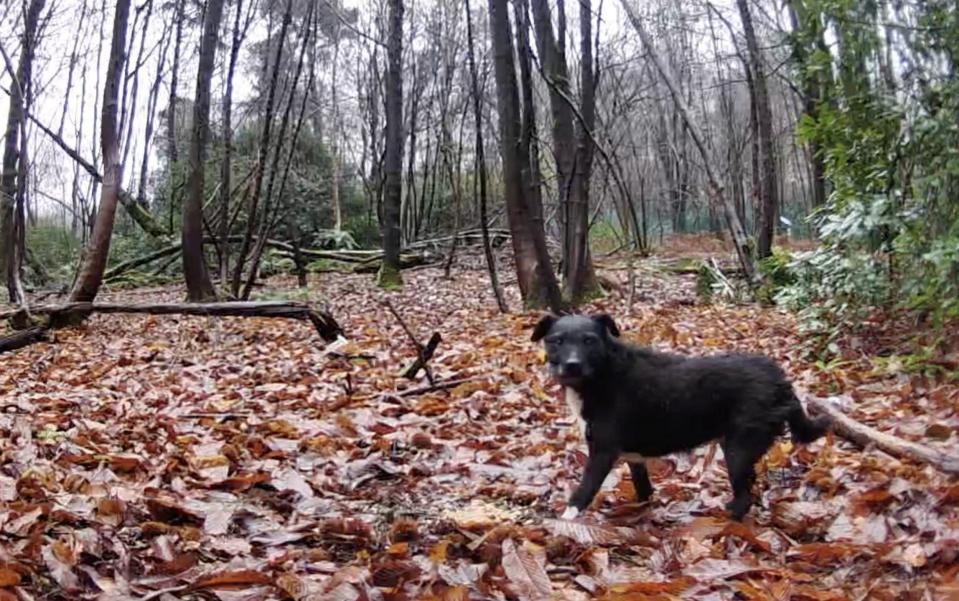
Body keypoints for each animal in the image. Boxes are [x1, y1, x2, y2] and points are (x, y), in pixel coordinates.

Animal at [532, 314, 832, 520]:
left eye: (589, 341)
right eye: (556, 341)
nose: (572, 365)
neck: (603, 375)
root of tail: (781, 379)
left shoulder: (603, 452)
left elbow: (581, 494)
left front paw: (563, 524)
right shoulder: (634, 458)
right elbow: (644, 491)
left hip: (738, 450)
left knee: (744, 498)